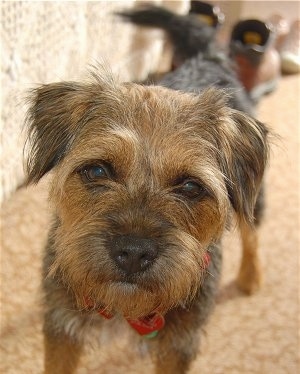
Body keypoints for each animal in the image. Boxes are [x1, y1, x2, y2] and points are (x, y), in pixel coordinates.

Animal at [25, 3, 268, 374]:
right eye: (97, 170)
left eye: (190, 186)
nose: (133, 253)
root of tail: (208, 57)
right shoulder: (62, 328)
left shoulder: (177, 345)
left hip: (252, 199)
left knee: (252, 231)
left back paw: (251, 277)